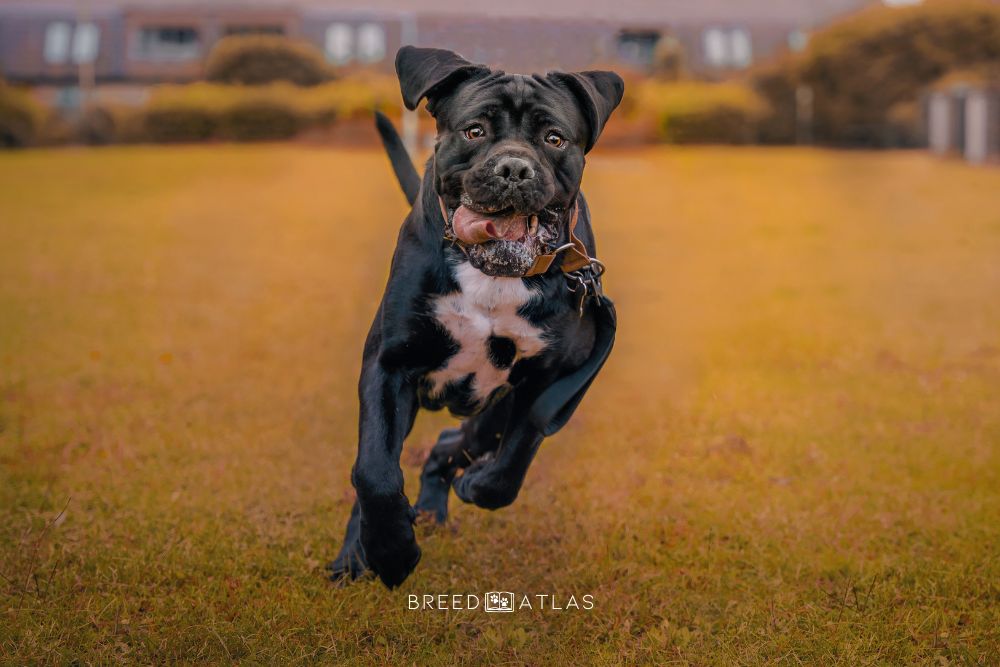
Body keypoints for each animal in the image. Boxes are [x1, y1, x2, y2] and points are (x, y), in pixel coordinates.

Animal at [328, 47, 624, 588]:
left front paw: (478, 485)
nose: (513, 168)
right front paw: (390, 552)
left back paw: (437, 501)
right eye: (474, 130)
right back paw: (357, 555)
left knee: (462, 438)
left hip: (494, 405)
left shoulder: (555, 376)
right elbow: (374, 470)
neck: (494, 274)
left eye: (554, 138)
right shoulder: (389, 364)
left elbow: (519, 451)